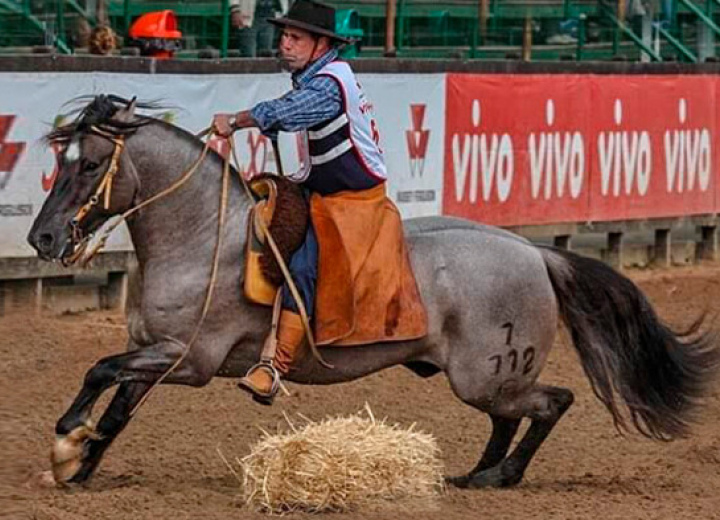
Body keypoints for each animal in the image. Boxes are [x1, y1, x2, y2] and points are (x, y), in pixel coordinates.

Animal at [28, 95, 720, 490]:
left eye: (90, 164)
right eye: (60, 162)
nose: (42, 236)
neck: (204, 237)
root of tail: (536, 253)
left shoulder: (187, 361)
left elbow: (97, 372)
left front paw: (64, 441)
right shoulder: (154, 355)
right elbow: (115, 408)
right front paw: (79, 464)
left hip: (487, 374)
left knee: (552, 403)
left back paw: (504, 474)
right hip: (486, 379)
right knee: (510, 416)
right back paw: (477, 474)